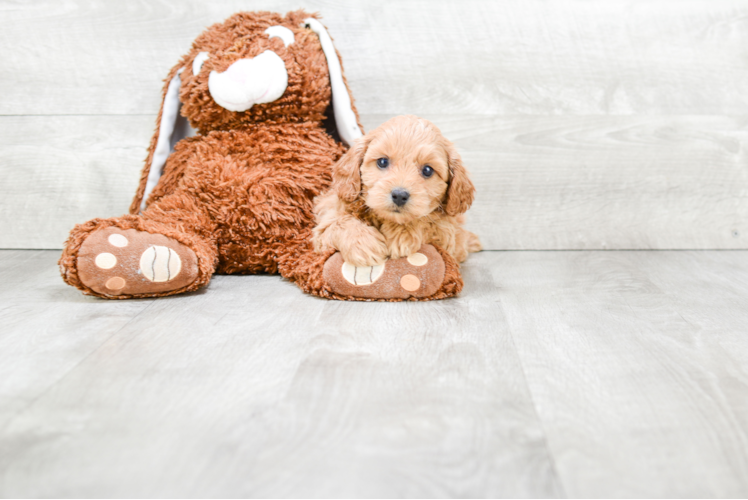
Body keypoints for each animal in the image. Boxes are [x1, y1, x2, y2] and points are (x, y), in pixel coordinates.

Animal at [312, 114, 482, 268]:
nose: (399, 196)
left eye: (427, 170)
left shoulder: (449, 237)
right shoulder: (325, 219)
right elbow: (338, 222)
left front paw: (402, 235)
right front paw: (363, 244)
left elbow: (428, 221)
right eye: (382, 162)